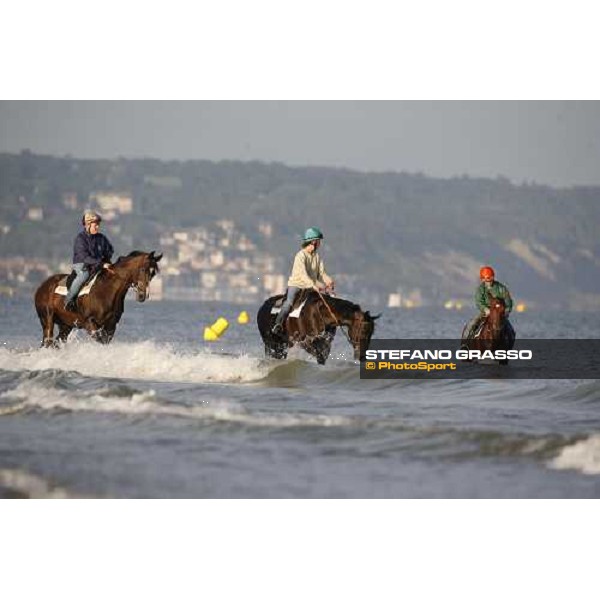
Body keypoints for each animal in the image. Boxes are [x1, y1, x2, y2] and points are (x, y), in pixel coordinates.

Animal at [33, 252, 162, 346]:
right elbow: (101, 340)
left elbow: (105, 341)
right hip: (47, 319)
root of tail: (41, 287)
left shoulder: (111, 326)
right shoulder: (89, 323)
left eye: (153, 274)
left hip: (66, 325)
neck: (106, 290)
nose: (142, 295)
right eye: (143, 269)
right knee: (48, 341)